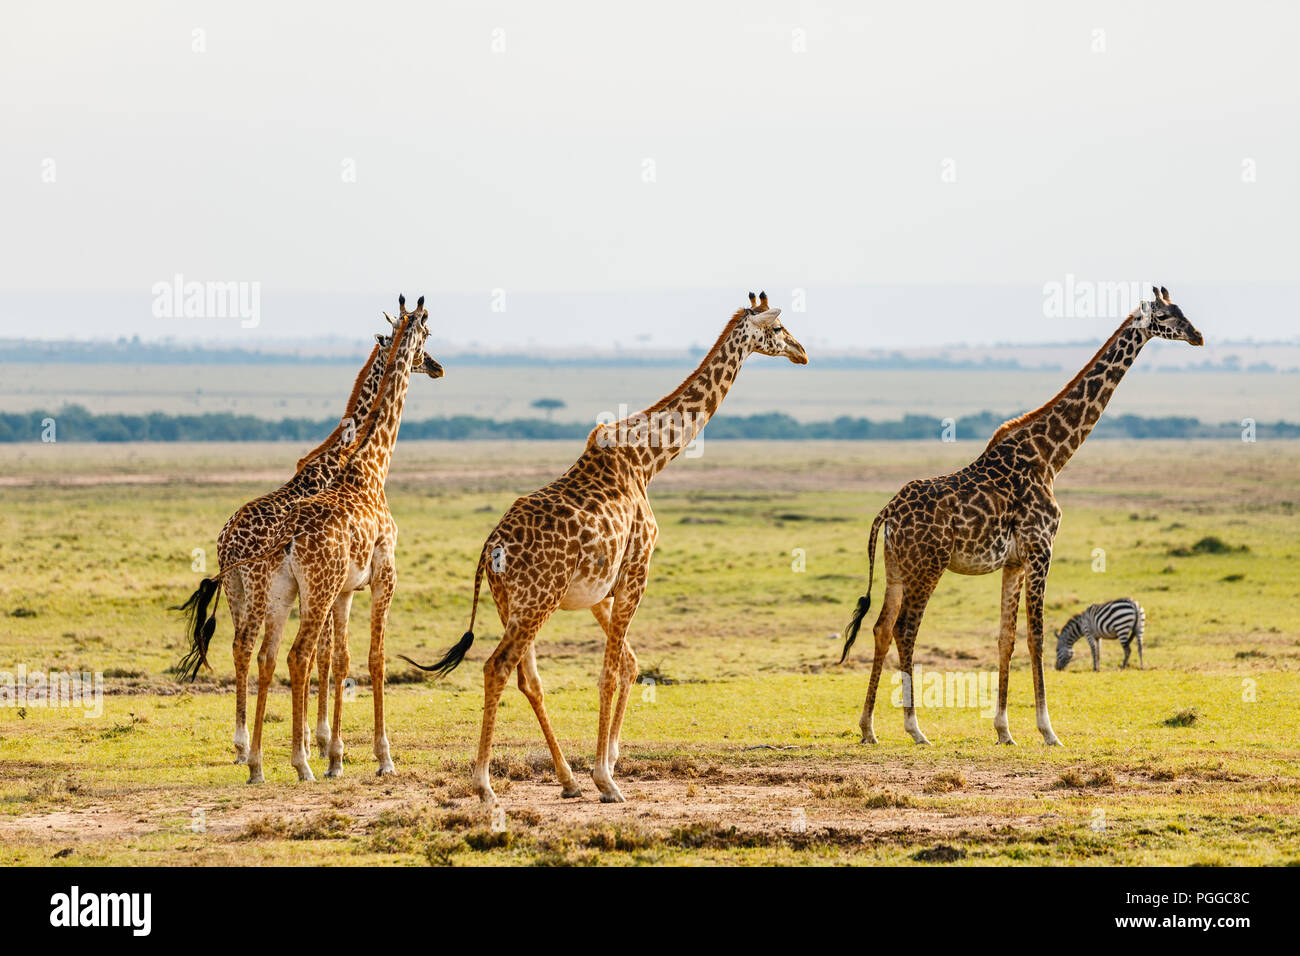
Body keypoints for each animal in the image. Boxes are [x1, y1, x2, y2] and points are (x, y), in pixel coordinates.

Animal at [175, 296, 437, 780]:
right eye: (427, 337)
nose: (437, 366)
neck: (360, 462)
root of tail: (225, 541)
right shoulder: (379, 576)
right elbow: (356, 657)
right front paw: (350, 750)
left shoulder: (341, 589)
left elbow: (336, 658)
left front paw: (329, 748)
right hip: (275, 589)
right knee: (284, 652)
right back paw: (275, 755)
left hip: (248, 591)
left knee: (252, 650)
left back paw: (252, 755)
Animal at [401, 292, 807, 804]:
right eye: (779, 329)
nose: (802, 352)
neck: (648, 459)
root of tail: (489, 553)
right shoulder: (636, 572)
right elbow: (611, 671)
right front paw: (606, 779)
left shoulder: (600, 591)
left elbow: (629, 664)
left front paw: (608, 763)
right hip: (538, 601)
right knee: (498, 667)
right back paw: (485, 784)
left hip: (511, 604)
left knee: (527, 677)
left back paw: (565, 780)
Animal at [837, 287, 1202, 747]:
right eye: (1168, 316)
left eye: (1183, 310)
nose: (1198, 336)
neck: (1051, 456)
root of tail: (886, 511)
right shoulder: (1041, 548)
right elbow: (1037, 636)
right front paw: (1048, 731)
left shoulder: (1013, 561)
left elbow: (1006, 638)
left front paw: (1004, 730)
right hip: (929, 564)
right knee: (905, 628)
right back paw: (915, 729)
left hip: (896, 566)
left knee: (881, 628)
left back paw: (867, 728)